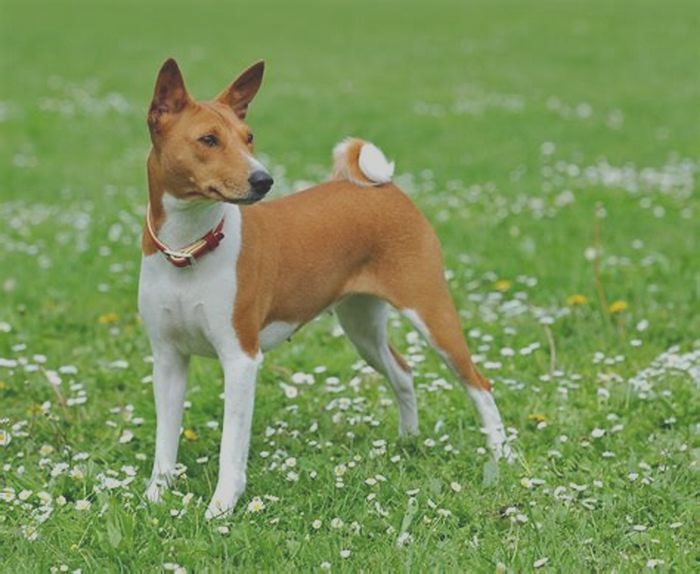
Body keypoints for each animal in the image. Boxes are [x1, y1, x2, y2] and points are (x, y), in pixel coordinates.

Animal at [138, 58, 516, 520]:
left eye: (248, 137)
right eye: (208, 140)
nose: (263, 180)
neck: (188, 250)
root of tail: (385, 188)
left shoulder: (241, 358)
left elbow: (231, 446)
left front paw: (221, 508)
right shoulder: (168, 359)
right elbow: (165, 442)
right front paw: (155, 498)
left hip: (432, 314)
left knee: (479, 383)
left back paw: (501, 453)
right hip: (362, 327)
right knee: (403, 372)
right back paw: (407, 442)